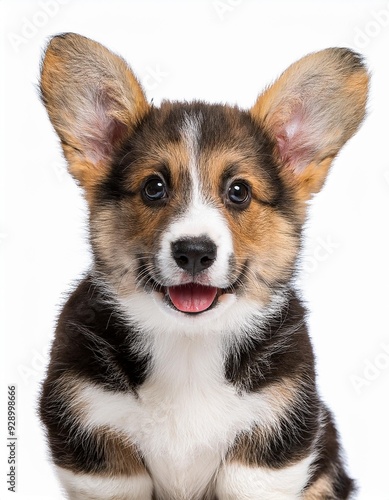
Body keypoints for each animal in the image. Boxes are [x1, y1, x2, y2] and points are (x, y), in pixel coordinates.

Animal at [38, 33, 366, 498]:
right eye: (154, 187)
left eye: (239, 191)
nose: (194, 251)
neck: (189, 349)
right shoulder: (100, 455)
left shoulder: (267, 454)